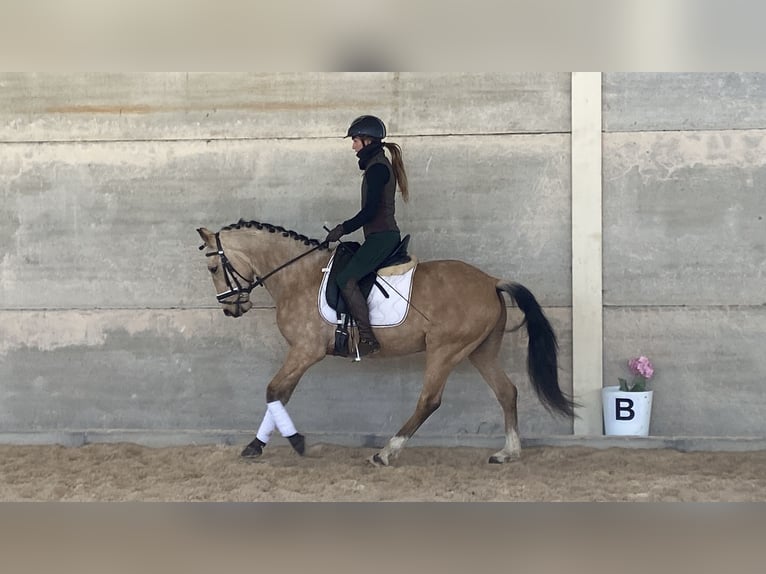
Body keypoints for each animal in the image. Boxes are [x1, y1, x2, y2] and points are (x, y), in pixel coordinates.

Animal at [198, 220, 576, 468]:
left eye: (214, 267)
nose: (231, 308)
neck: (297, 276)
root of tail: (491, 281)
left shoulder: (305, 351)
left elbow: (274, 391)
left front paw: (297, 442)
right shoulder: (301, 354)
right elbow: (280, 394)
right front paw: (255, 446)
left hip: (445, 349)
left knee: (429, 400)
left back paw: (385, 452)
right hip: (480, 351)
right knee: (506, 392)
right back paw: (507, 453)